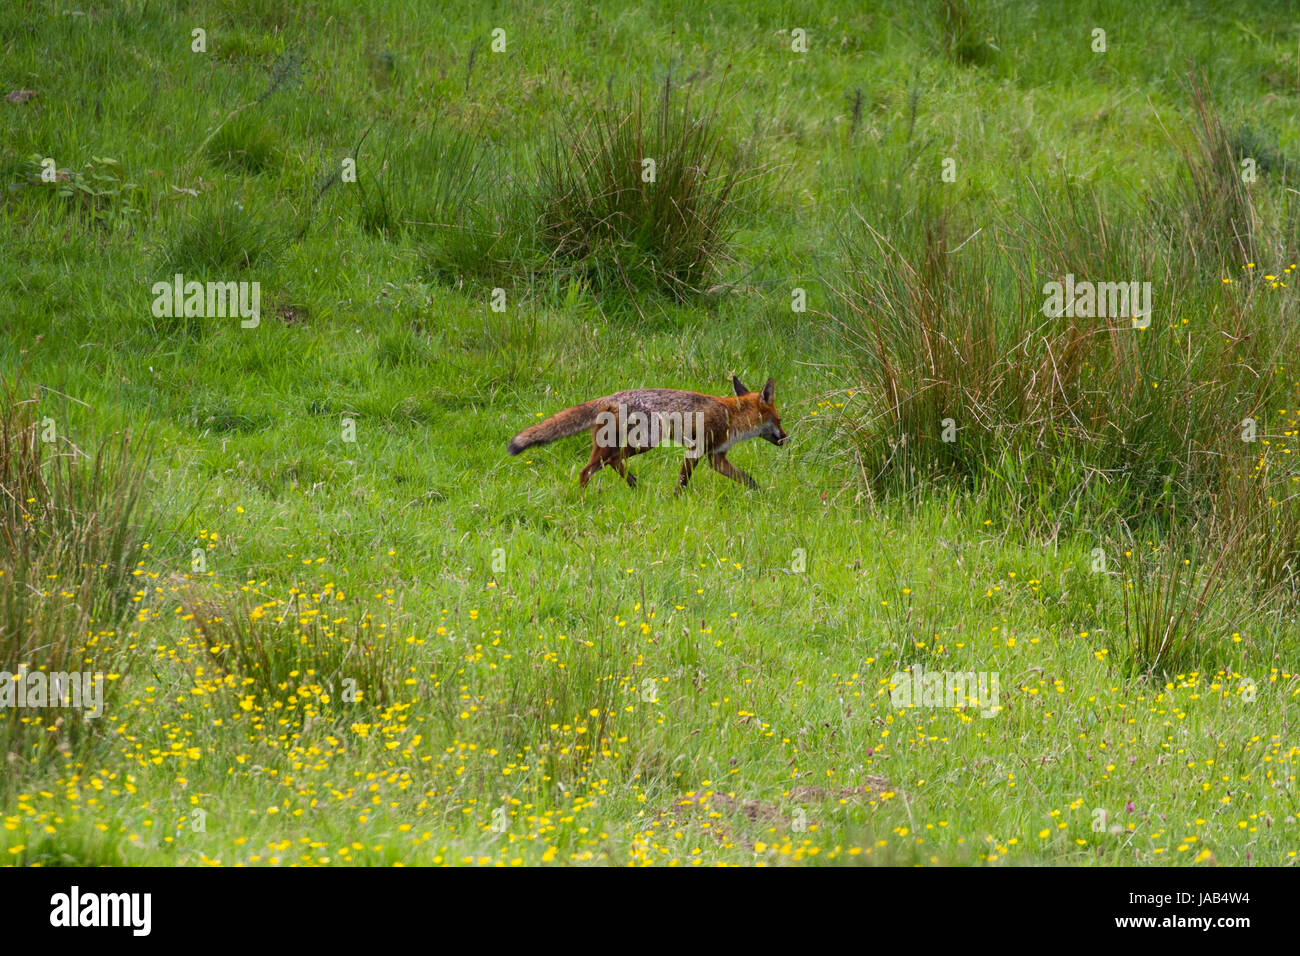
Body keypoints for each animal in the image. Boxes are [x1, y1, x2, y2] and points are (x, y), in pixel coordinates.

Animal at [509, 374, 785, 489]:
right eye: (780, 419)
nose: (786, 438)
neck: (731, 415)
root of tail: (610, 397)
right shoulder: (695, 451)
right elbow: (682, 483)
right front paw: (676, 502)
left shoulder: (716, 457)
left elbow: (749, 480)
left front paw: (762, 498)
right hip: (650, 439)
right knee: (596, 467)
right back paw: (585, 501)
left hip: (612, 445)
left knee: (602, 465)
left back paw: (632, 486)